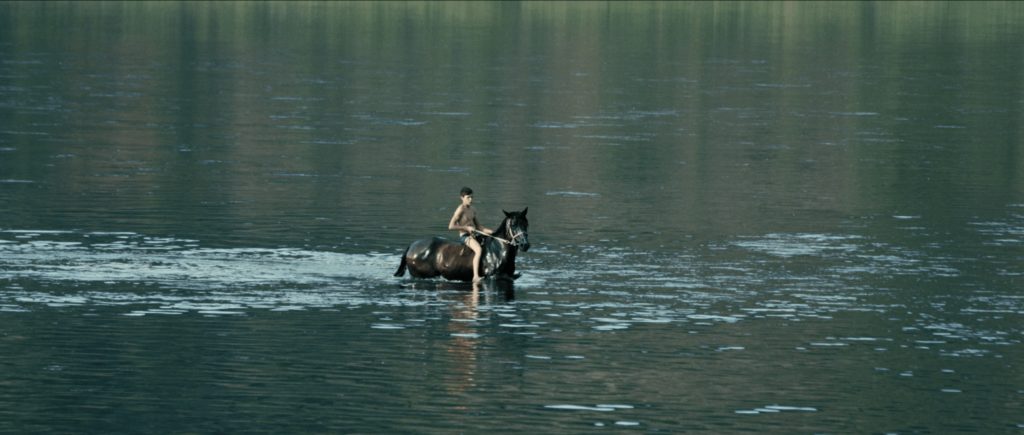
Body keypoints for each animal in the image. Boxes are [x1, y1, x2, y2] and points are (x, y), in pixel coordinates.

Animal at [395, 209, 532, 282]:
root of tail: (412, 246)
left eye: (526, 224)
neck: (498, 251)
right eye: (513, 224)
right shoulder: (493, 278)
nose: (525, 245)